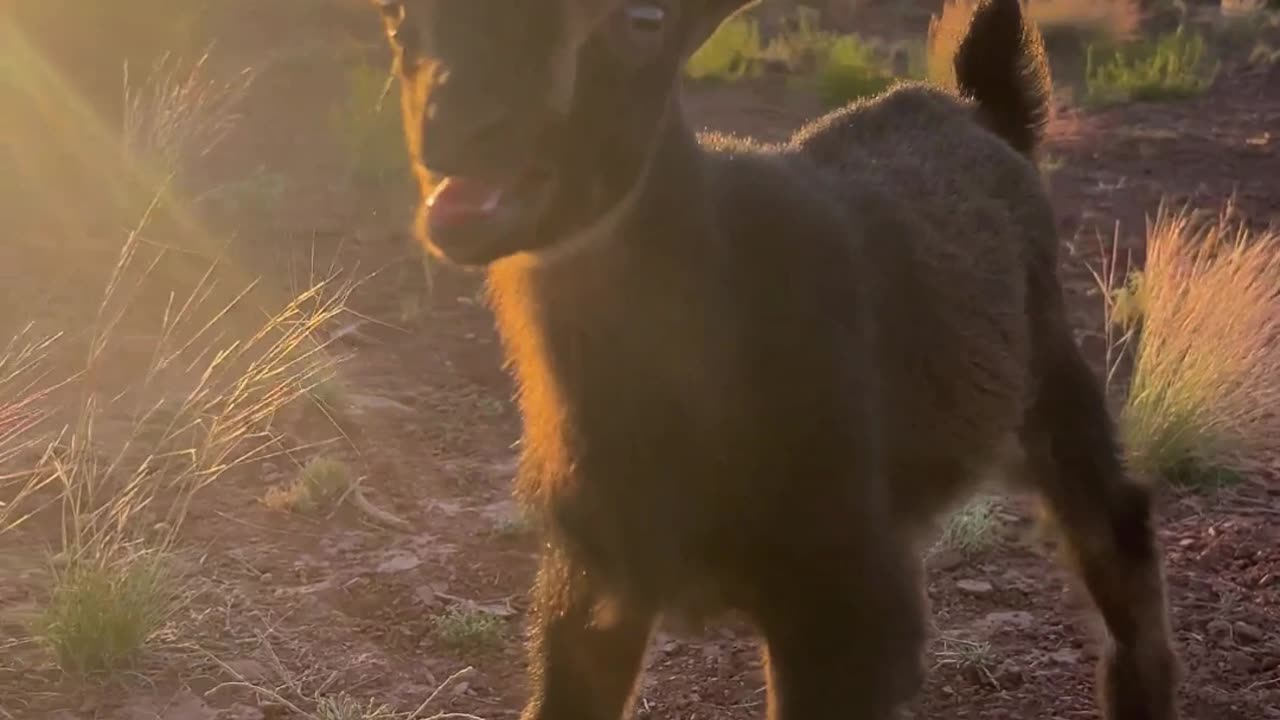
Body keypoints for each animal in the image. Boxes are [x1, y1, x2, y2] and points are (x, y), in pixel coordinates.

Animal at [368, 1, 1177, 717]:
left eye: (645, 20)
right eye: (399, 17)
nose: (461, 126)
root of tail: (979, 106)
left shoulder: (844, 602)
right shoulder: (591, 584)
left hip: (1052, 377)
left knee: (1118, 536)